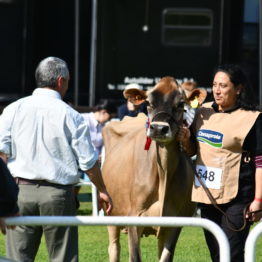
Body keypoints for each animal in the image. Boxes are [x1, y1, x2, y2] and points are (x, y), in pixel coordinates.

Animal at [101, 77, 206, 260]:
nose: (158, 128)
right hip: (110, 212)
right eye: (148, 103)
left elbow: (165, 257)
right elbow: (134, 256)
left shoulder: (175, 223)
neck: (163, 174)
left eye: (181, 104)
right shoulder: (134, 217)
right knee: (114, 248)